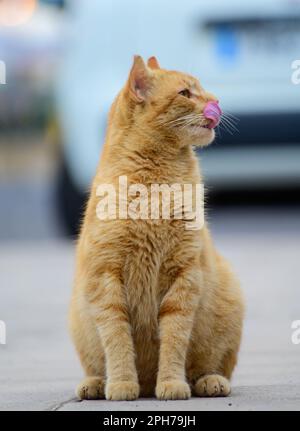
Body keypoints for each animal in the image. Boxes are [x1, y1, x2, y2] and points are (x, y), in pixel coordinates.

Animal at [69, 54, 244, 402]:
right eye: (185, 93)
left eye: (202, 89)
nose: (216, 101)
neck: (155, 182)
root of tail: (147, 383)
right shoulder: (106, 281)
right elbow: (117, 340)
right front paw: (122, 384)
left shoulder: (184, 277)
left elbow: (174, 340)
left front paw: (172, 383)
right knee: (97, 365)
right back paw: (95, 383)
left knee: (212, 366)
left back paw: (209, 381)